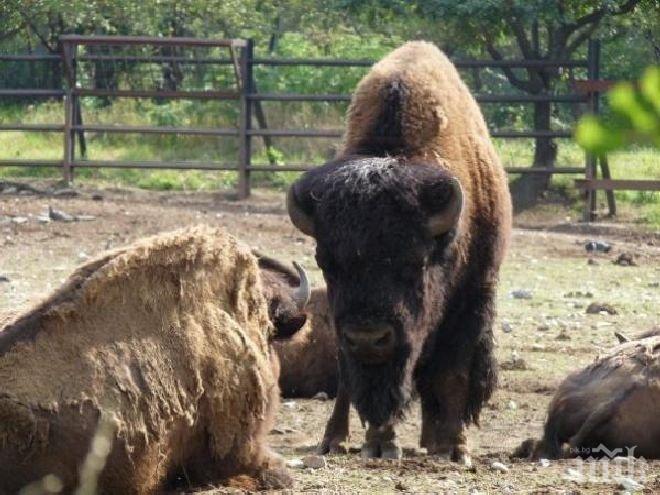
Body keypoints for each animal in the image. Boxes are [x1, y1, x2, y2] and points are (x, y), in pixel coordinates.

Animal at [286, 40, 512, 464]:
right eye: (327, 262)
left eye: (415, 262)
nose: (368, 337)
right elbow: (368, 385)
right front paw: (380, 445)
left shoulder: (472, 297)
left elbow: (453, 373)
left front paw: (455, 447)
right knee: (350, 382)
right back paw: (333, 439)